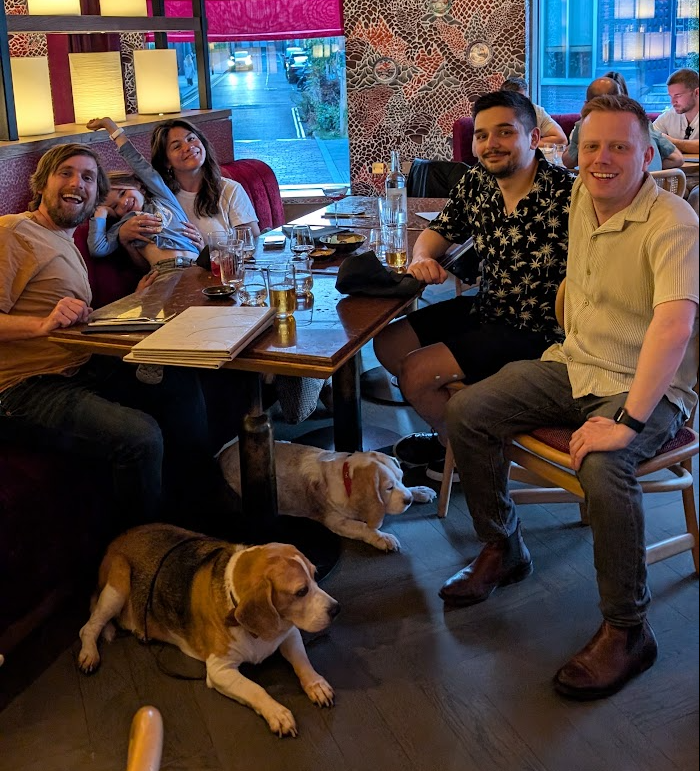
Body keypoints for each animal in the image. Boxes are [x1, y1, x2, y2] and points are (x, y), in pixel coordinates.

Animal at [78, 524, 338, 736]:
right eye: (301, 591)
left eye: (316, 576)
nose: (336, 609)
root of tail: (117, 539)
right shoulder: (219, 670)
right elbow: (255, 689)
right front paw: (276, 713)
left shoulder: (289, 633)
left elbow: (302, 662)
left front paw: (316, 685)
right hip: (117, 587)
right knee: (88, 627)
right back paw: (89, 654)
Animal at [220, 444, 438, 552]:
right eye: (389, 488)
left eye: (401, 479)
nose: (408, 500)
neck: (346, 476)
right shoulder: (335, 521)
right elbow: (364, 527)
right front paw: (382, 537)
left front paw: (419, 491)